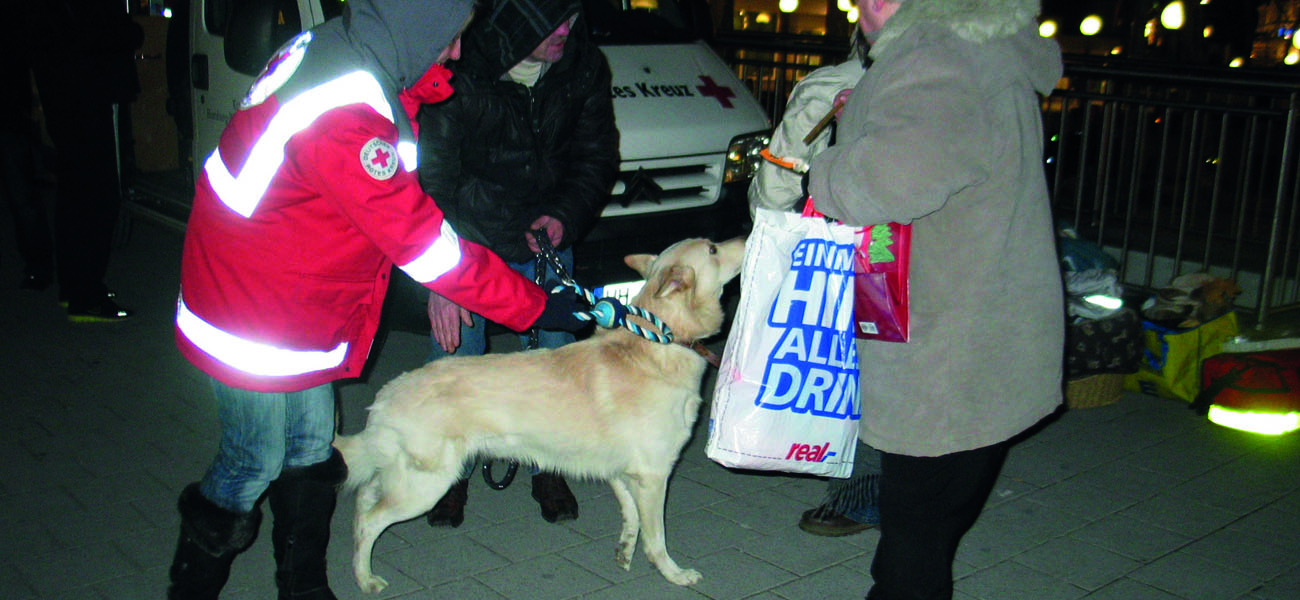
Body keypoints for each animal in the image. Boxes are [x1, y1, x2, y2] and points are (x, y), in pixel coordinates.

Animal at [330, 236, 748, 592]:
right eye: (713, 248)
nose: (747, 233)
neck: (660, 343)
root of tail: (387, 394)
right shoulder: (654, 476)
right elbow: (657, 537)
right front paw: (673, 574)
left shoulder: (623, 473)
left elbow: (631, 519)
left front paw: (625, 552)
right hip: (424, 487)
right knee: (368, 522)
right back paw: (365, 579)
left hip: (403, 479)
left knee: (362, 502)